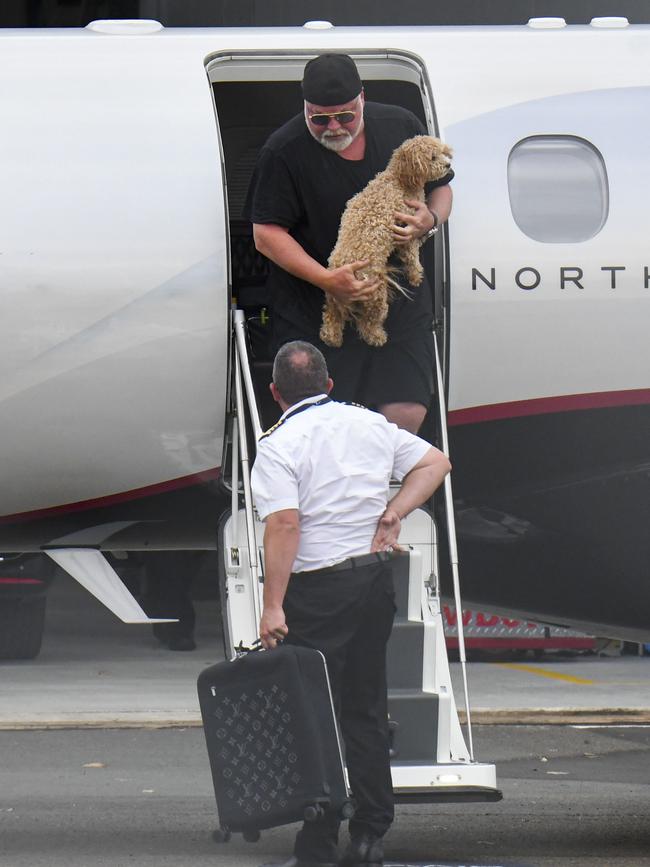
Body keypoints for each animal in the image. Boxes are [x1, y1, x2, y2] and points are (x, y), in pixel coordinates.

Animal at [318, 134, 450, 348]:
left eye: (443, 152)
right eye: (432, 157)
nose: (448, 165)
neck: (398, 179)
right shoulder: (407, 228)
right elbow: (411, 255)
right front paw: (416, 275)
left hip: (333, 297)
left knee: (332, 315)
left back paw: (331, 337)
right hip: (376, 297)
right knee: (368, 323)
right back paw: (377, 336)